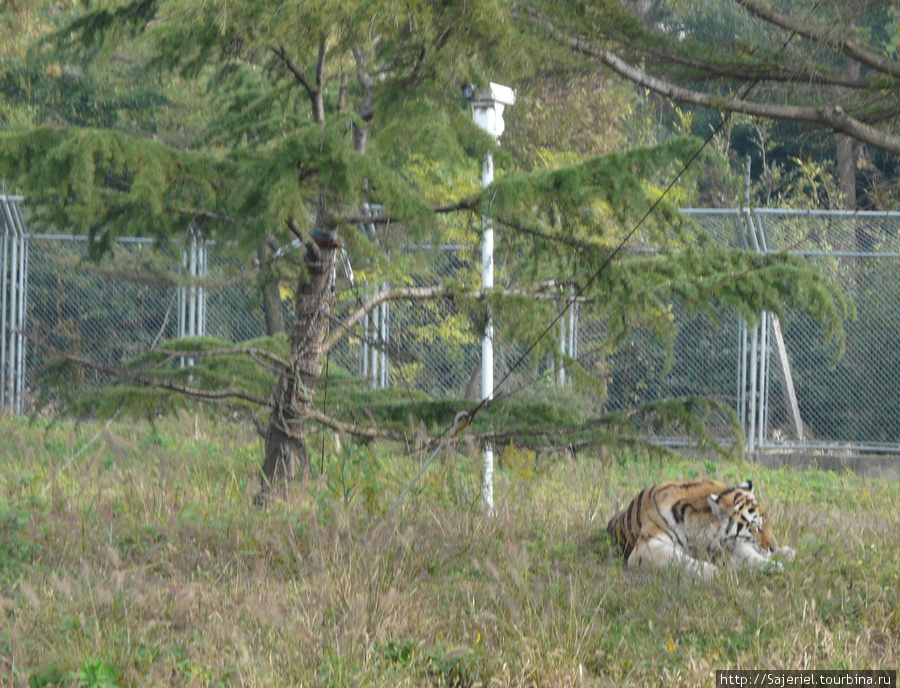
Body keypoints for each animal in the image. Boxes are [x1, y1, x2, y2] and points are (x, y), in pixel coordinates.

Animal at [604, 478, 796, 580]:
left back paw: (788, 552)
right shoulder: (646, 548)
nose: (773, 548)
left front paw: (773, 565)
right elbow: (681, 559)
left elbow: (752, 557)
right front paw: (715, 572)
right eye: (755, 526)